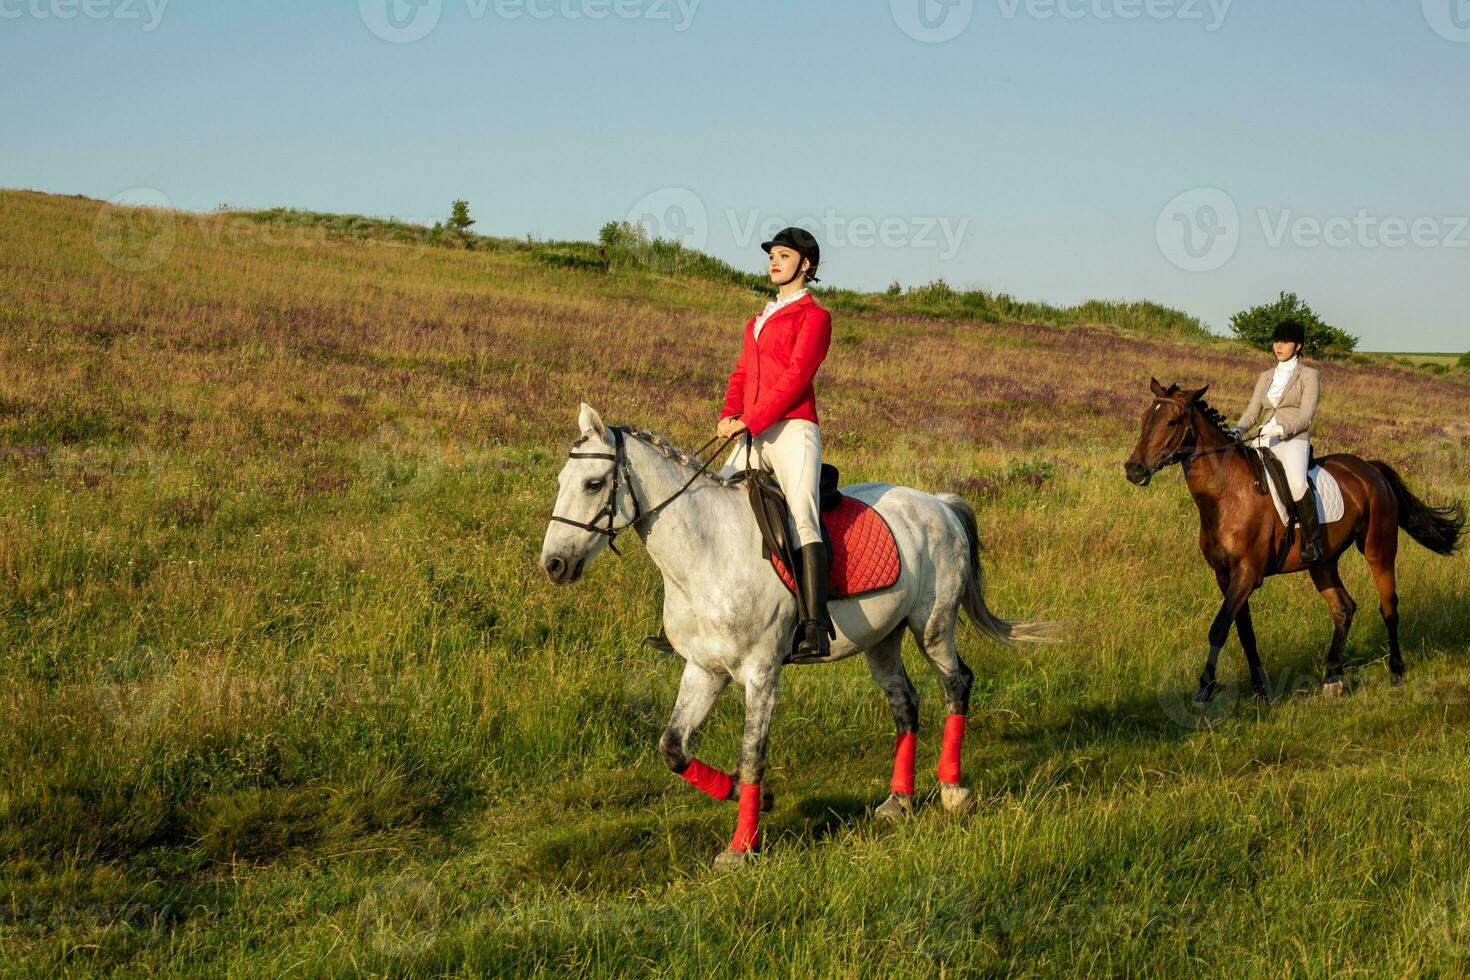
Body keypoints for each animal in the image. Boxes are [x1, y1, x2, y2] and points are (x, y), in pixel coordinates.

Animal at [540, 405, 1058, 875]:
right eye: (563, 479)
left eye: (592, 484)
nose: (554, 565)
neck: (705, 555)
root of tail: (940, 503)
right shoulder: (704, 670)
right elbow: (673, 748)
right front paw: (757, 800)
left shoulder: (761, 673)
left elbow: (751, 756)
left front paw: (741, 848)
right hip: (882, 640)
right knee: (906, 705)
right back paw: (899, 800)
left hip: (932, 627)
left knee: (957, 685)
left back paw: (952, 791)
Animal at [1123, 379, 1458, 705]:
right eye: (1144, 418)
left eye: (1172, 421)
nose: (1133, 469)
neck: (1227, 492)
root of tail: (1371, 469)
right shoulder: (1225, 575)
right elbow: (1244, 631)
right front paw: (1262, 689)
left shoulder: (1247, 573)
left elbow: (1219, 628)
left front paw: (1204, 691)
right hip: (1322, 563)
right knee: (1344, 608)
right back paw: (1333, 678)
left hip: (1379, 549)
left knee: (1388, 607)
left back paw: (1396, 673)